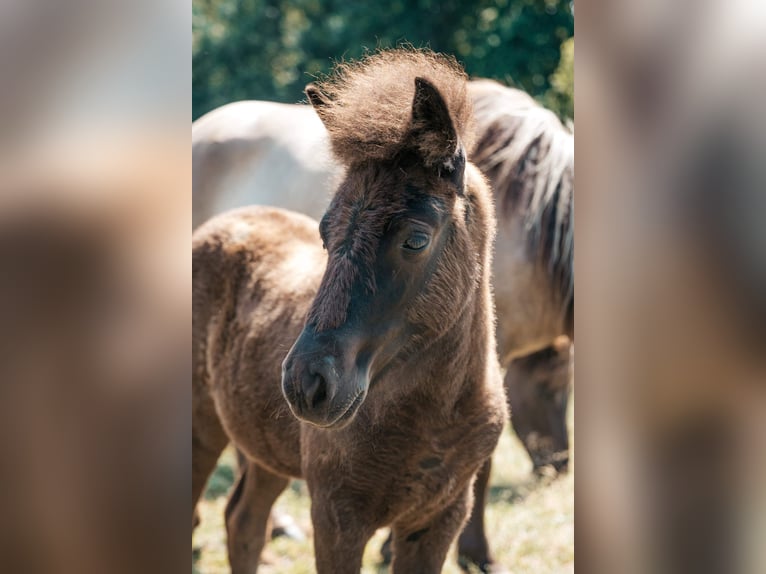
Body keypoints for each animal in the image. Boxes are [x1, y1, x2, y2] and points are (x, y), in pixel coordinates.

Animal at [192, 76, 574, 573]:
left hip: (264, 449)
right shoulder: (337, 517)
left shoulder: (440, 517)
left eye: (416, 239)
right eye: (324, 232)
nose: (306, 384)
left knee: (244, 521)